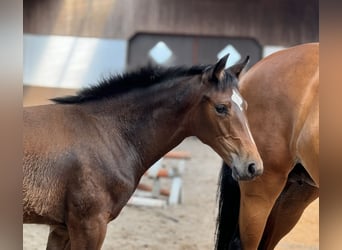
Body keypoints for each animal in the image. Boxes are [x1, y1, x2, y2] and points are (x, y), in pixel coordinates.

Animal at [23, 55, 264, 250]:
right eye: (221, 108)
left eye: (246, 106)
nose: (253, 166)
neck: (107, 132)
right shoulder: (89, 225)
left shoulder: (61, 228)